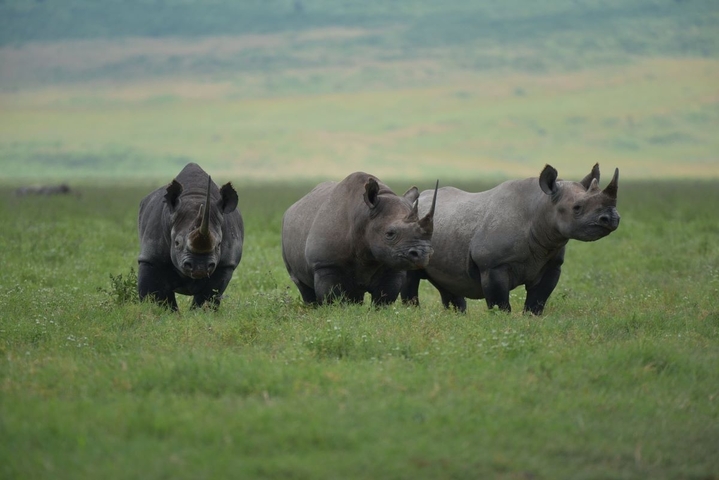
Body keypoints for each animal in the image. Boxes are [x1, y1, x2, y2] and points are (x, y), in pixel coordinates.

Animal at [137, 163, 244, 310]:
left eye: (219, 245)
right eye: (176, 243)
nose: (200, 268)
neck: (196, 197)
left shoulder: (225, 264)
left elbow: (209, 295)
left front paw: (200, 313)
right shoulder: (151, 257)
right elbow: (156, 294)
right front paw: (164, 312)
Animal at [282, 172, 438, 306]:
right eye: (390, 234)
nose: (423, 254)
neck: (364, 214)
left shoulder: (392, 265)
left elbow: (384, 300)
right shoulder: (325, 264)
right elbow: (332, 299)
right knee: (302, 285)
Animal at [401, 164, 620, 315]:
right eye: (577, 208)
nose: (612, 218)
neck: (541, 207)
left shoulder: (551, 263)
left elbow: (536, 303)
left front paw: (530, 321)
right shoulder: (493, 265)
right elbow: (500, 304)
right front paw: (502, 323)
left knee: (448, 284)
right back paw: (412, 314)